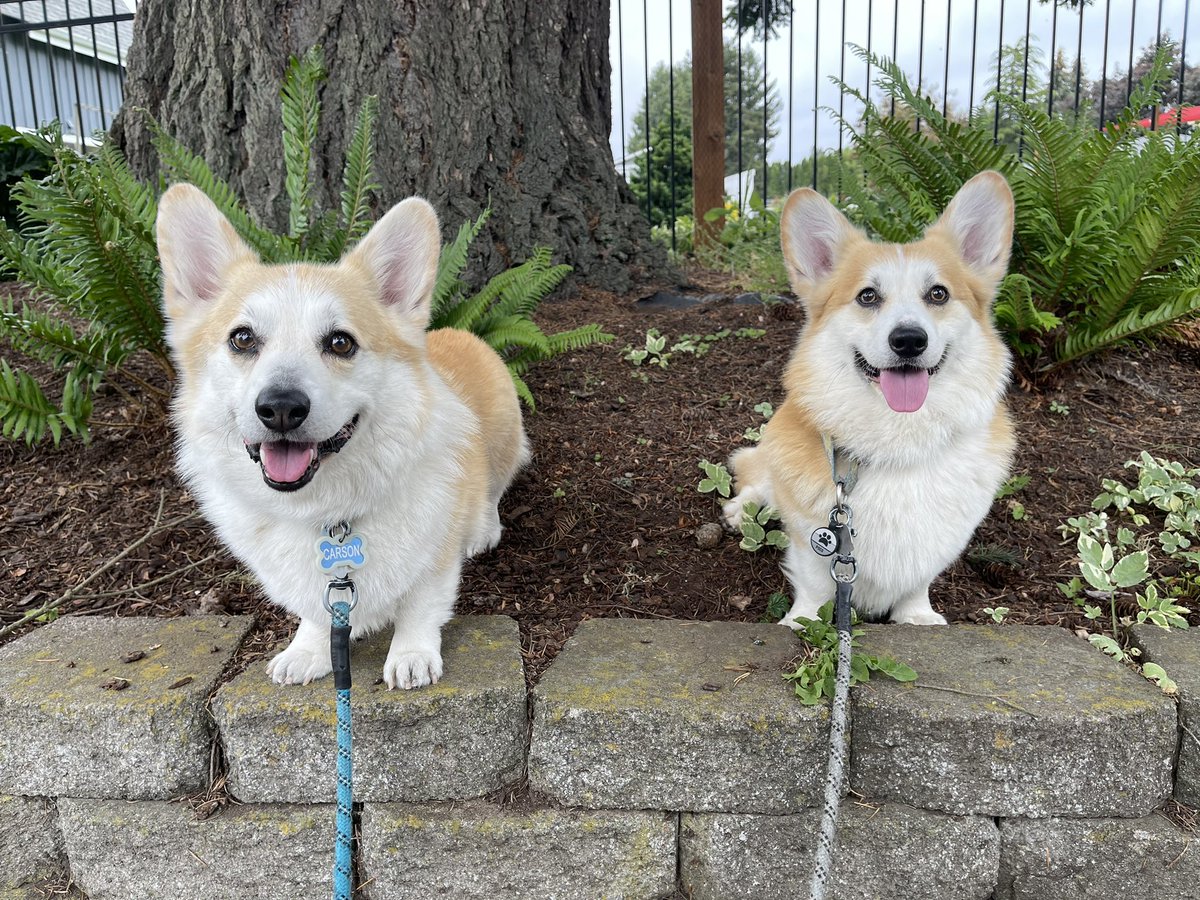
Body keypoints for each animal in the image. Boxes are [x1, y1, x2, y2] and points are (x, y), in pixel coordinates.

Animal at [153, 184, 525, 691]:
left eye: (340, 342)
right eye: (242, 338)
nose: (281, 407)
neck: (327, 511)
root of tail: (460, 332)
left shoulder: (435, 558)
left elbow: (421, 606)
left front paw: (411, 655)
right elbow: (316, 612)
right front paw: (307, 652)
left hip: (503, 446)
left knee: (491, 493)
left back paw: (483, 531)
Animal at [724, 172, 1017, 628]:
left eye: (938, 294)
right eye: (867, 296)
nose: (909, 340)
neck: (899, 441)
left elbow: (919, 578)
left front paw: (917, 617)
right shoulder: (812, 538)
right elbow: (814, 584)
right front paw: (802, 621)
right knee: (757, 477)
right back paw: (741, 510)